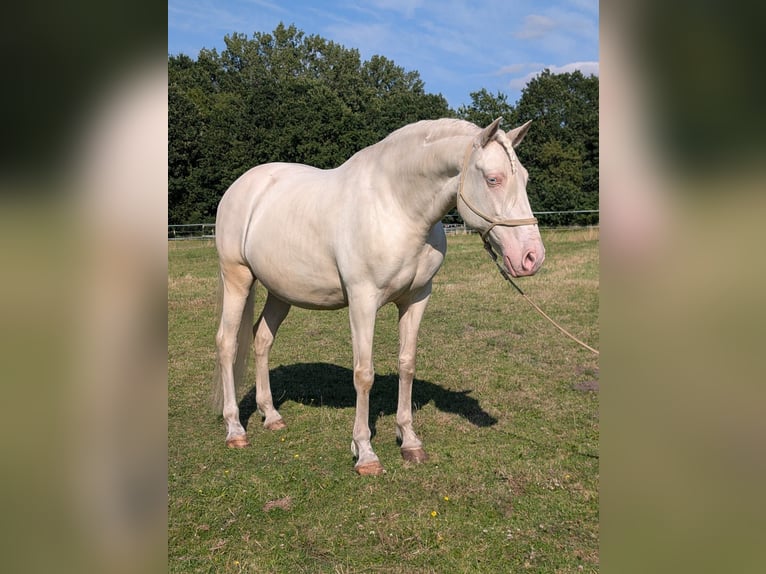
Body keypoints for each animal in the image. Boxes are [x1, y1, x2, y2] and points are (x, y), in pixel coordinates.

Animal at [213, 117, 545, 475]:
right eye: (493, 179)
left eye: (525, 179)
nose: (532, 257)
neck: (397, 205)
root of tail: (242, 187)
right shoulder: (362, 301)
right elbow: (364, 374)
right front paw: (365, 452)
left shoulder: (416, 299)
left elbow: (407, 364)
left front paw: (410, 441)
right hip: (237, 278)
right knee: (227, 343)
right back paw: (235, 429)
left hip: (280, 291)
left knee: (262, 339)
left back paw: (271, 415)